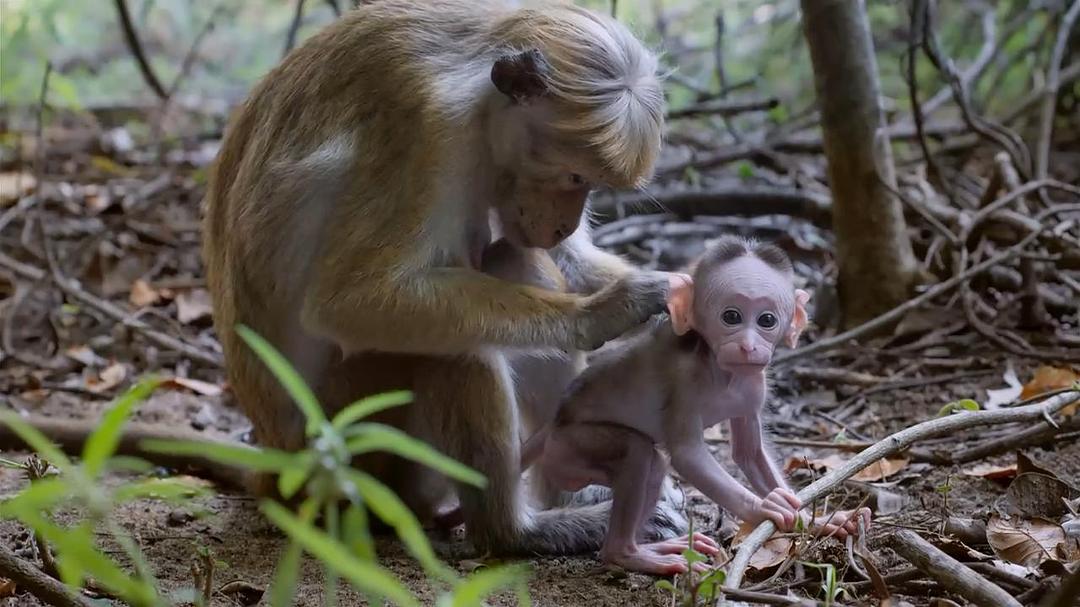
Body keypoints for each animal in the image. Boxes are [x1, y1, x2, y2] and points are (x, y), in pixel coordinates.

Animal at [198, 0, 689, 556]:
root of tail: (279, 462)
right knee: (457, 343)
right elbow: (349, 301)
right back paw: (515, 531)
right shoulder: (426, 127)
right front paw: (603, 313)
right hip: (355, 438)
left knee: (519, 261)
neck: (475, 93)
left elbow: (565, 258)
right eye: (575, 176)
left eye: (589, 183)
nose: (564, 222)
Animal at [517, 235, 873, 575]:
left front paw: (818, 520)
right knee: (638, 453)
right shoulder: (684, 382)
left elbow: (749, 454)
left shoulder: (754, 385)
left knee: (651, 465)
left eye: (767, 320)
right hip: (572, 446)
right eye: (731, 316)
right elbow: (688, 456)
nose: (748, 347)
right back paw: (626, 554)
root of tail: (556, 420)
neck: (723, 374)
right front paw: (762, 509)